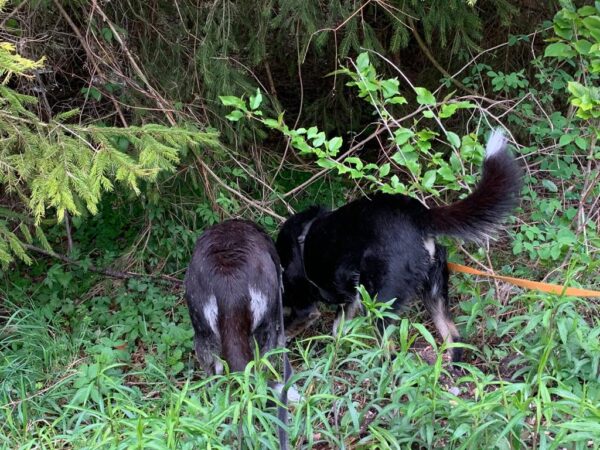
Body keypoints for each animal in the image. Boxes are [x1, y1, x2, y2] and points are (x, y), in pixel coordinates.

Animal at [276, 130, 521, 362]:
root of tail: (418, 214)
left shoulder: (305, 308)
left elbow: (284, 333)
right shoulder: (349, 301)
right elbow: (338, 333)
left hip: (380, 304)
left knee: (391, 355)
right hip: (434, 294)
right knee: (454, 339)